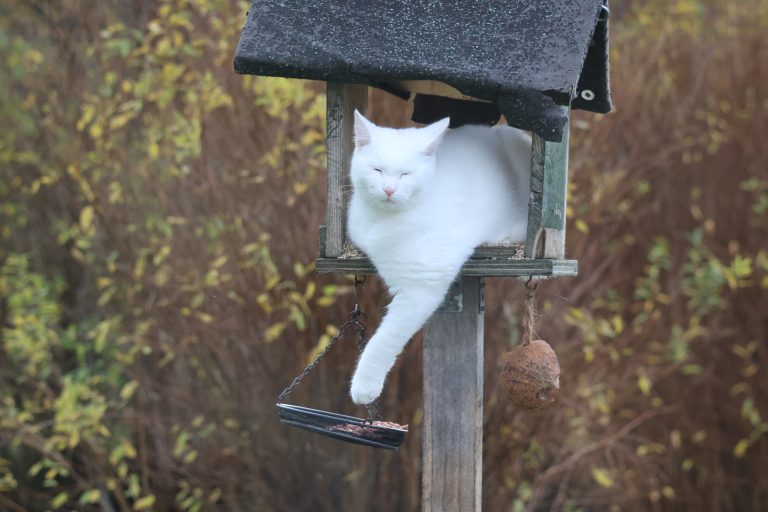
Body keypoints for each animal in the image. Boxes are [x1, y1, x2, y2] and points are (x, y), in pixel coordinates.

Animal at [346, 112, 532, 404]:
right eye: (377, 170)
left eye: (405, 174)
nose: (388, 189)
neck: (384, 222)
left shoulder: (421, 286)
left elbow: (386, 339)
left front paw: (365, 386)